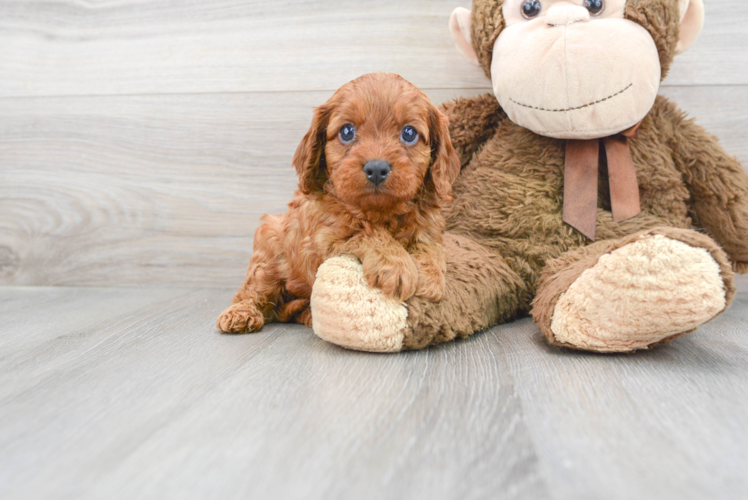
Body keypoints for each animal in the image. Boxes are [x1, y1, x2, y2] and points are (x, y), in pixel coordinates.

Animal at [218, 72, 462, 334]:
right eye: (347, 131)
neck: (379, 213)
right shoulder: (322, 240)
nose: (377, 168)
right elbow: (364, 232)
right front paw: (396, 265)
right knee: (252, 291)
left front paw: (430, 279)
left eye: (409, 133)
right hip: (268, 249)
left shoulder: (428, 226)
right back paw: (240, 314)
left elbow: (430, 246)